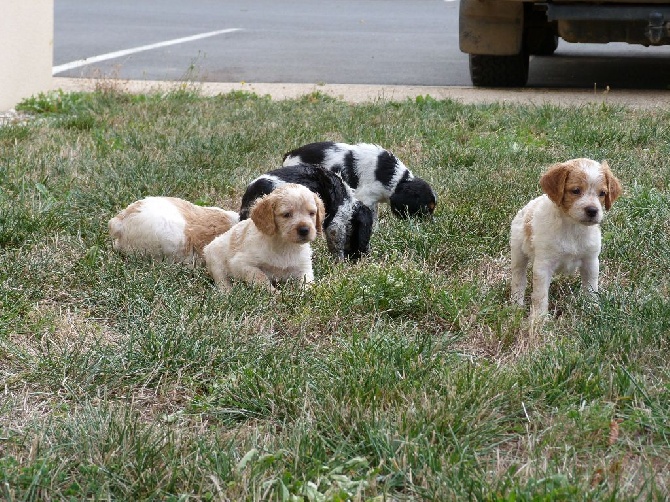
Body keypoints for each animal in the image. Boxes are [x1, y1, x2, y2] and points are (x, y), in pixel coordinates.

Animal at [516, 159, 624, 316]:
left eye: (602, 193)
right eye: (576, 190)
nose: (592, 210)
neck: (573, 227)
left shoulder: (591, 261)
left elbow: (591, 289)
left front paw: (592, 309)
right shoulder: (543, 265)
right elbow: (540, 296)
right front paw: (538, 318)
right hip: (518, 254)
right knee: (518, 279)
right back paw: (515, 305)